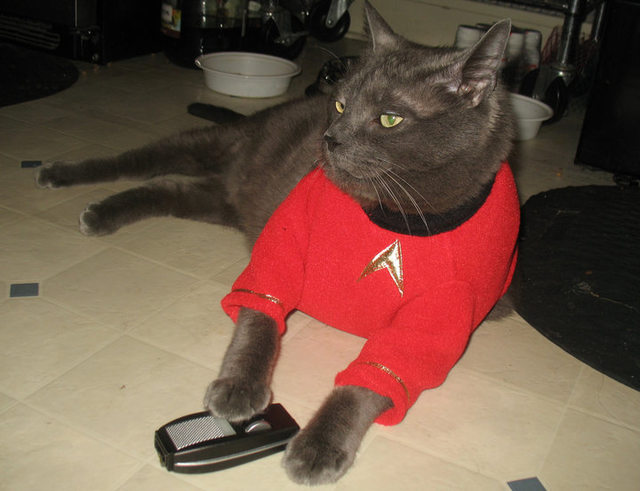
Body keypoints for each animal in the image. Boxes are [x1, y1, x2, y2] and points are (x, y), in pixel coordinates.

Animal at [35, 3, 518, 485]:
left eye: (390, 118)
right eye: (340, 104)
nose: (330, 137)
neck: (399, 215)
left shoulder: (437, 318)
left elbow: (372, 380)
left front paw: (319, 445)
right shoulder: (283, 241)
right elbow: (259, 320)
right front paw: (239, 389)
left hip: (218, 200)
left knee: (166, 189)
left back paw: (103, 210)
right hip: (209, 145)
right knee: (137, 160)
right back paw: (64, 178)